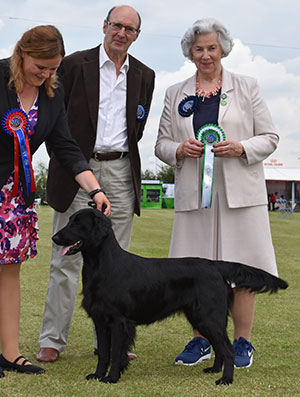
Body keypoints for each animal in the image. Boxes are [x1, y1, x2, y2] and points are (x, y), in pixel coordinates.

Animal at [52, 207, 288, 384]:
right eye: (69, 220)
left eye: (77, 223)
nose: (55, 237)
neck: (103, 266)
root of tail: (215, 265)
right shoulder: (100, 320)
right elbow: (103, 353)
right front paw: (98, 375)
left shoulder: (119, 321)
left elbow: (116, 352)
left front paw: (112, 378)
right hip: (202, 318)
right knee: (220, 348)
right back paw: (214, 370)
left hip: (208, 317)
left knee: (228, 349)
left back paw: (225, 379)